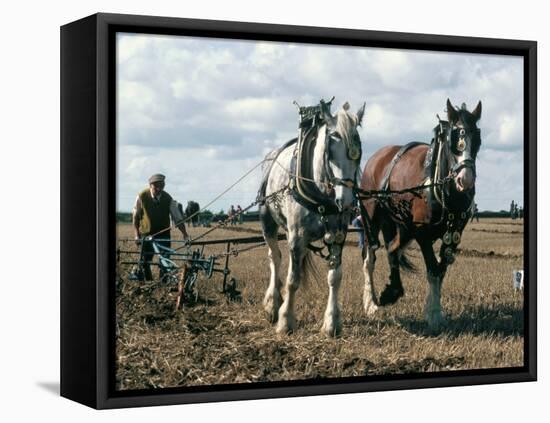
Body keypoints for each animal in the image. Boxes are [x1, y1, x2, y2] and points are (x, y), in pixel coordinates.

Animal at [360, 99, 480, 332]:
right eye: (454, 138)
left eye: (477, 138)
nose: (466, 179)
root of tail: (378, 157)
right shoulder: (422, 233)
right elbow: (433, 269)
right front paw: (433, 314)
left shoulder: (453, 235)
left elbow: (441, 270)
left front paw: (432, 309)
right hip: (372, 218)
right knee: (370, 257)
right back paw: (371, 303)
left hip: (402, 226)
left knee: (393, 249)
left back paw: (392, 290)